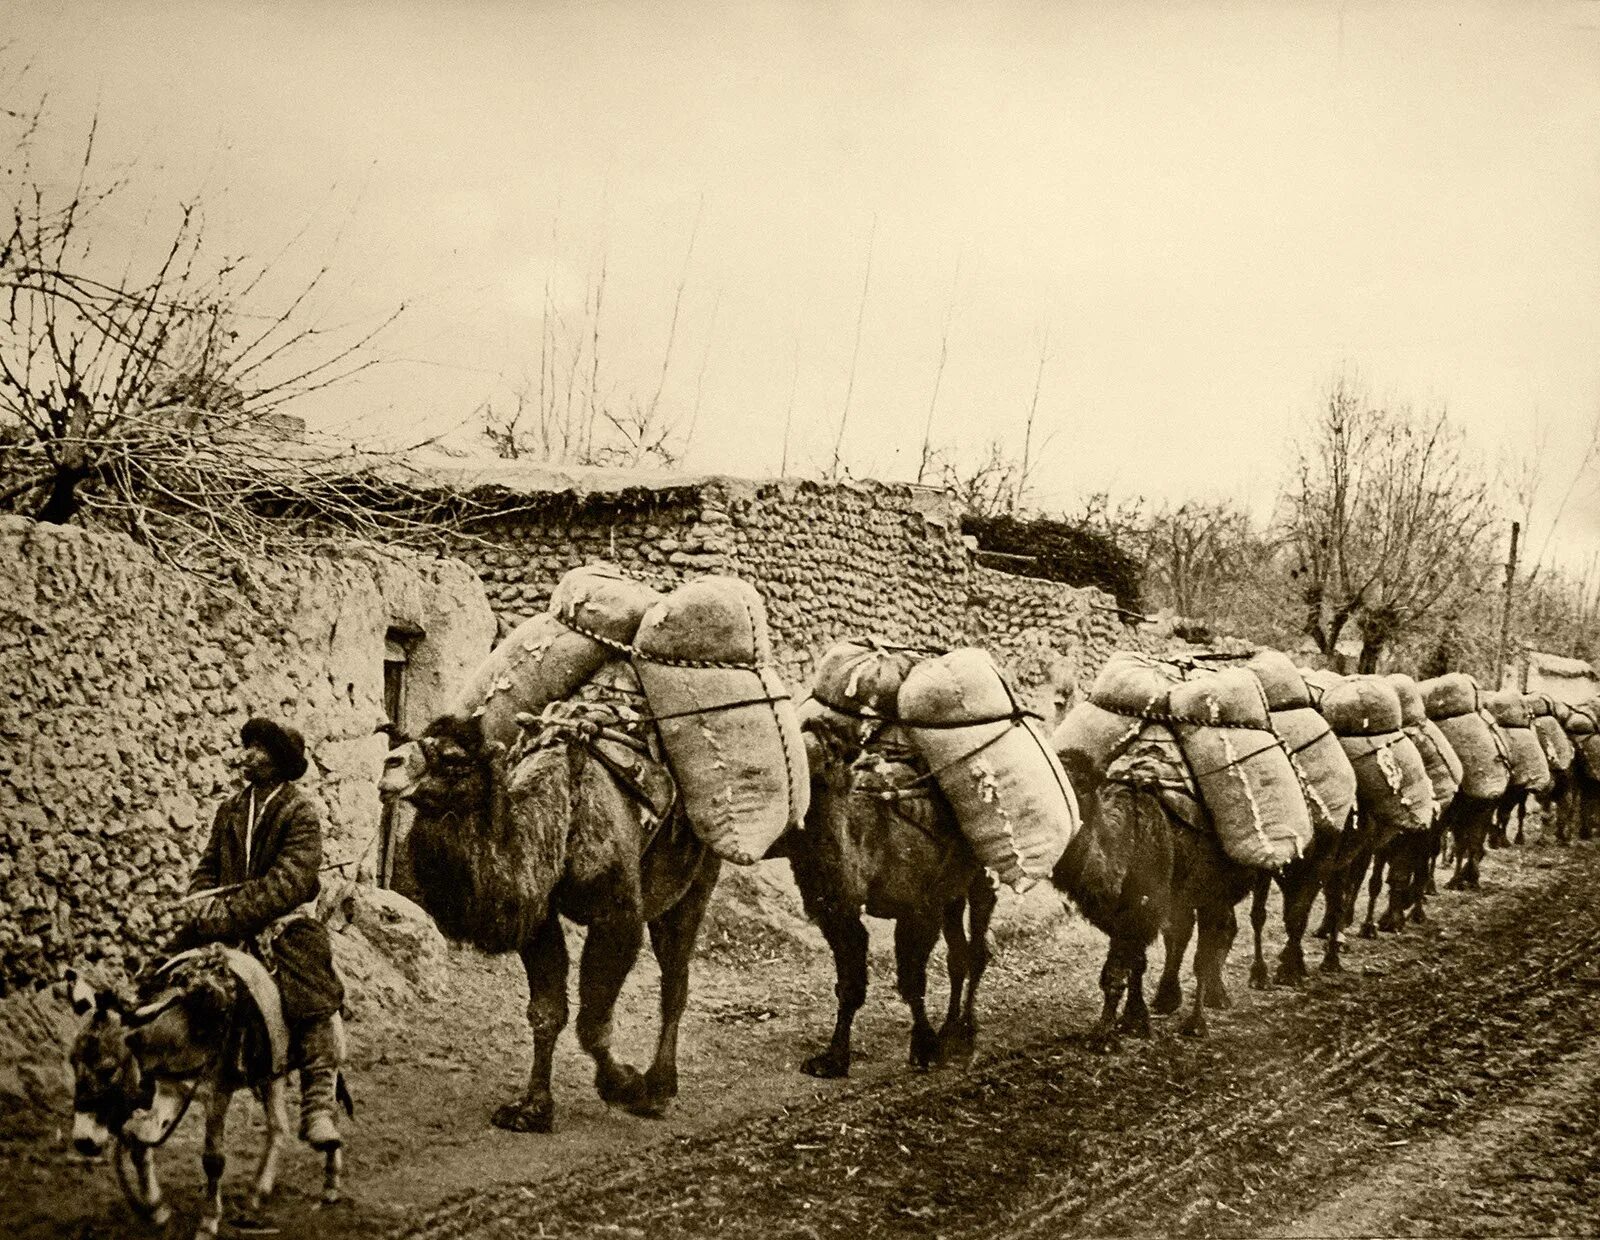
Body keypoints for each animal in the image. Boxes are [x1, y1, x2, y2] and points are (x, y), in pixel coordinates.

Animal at [380, 688, 720, 1132]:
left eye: (454, 758)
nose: (390, 764)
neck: (562, 819)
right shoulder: (539, 920)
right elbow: (547, 1011)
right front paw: (532, 1108)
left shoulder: (618, 917)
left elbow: (592, 1022)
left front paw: (628, 1087)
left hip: (697, 880)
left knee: (675, 981)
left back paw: (661, 1086)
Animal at [768, 723, 992, 1081]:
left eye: (824, 760)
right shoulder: (839, 914)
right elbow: (850, 986)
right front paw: (832, 1059)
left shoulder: (919, 910)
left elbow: (912, 982)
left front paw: (924, 1047)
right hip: (951, 892)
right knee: (958, 954)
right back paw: (950, 1031)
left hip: (981, 876)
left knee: (976, 950)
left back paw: (965, 1036)